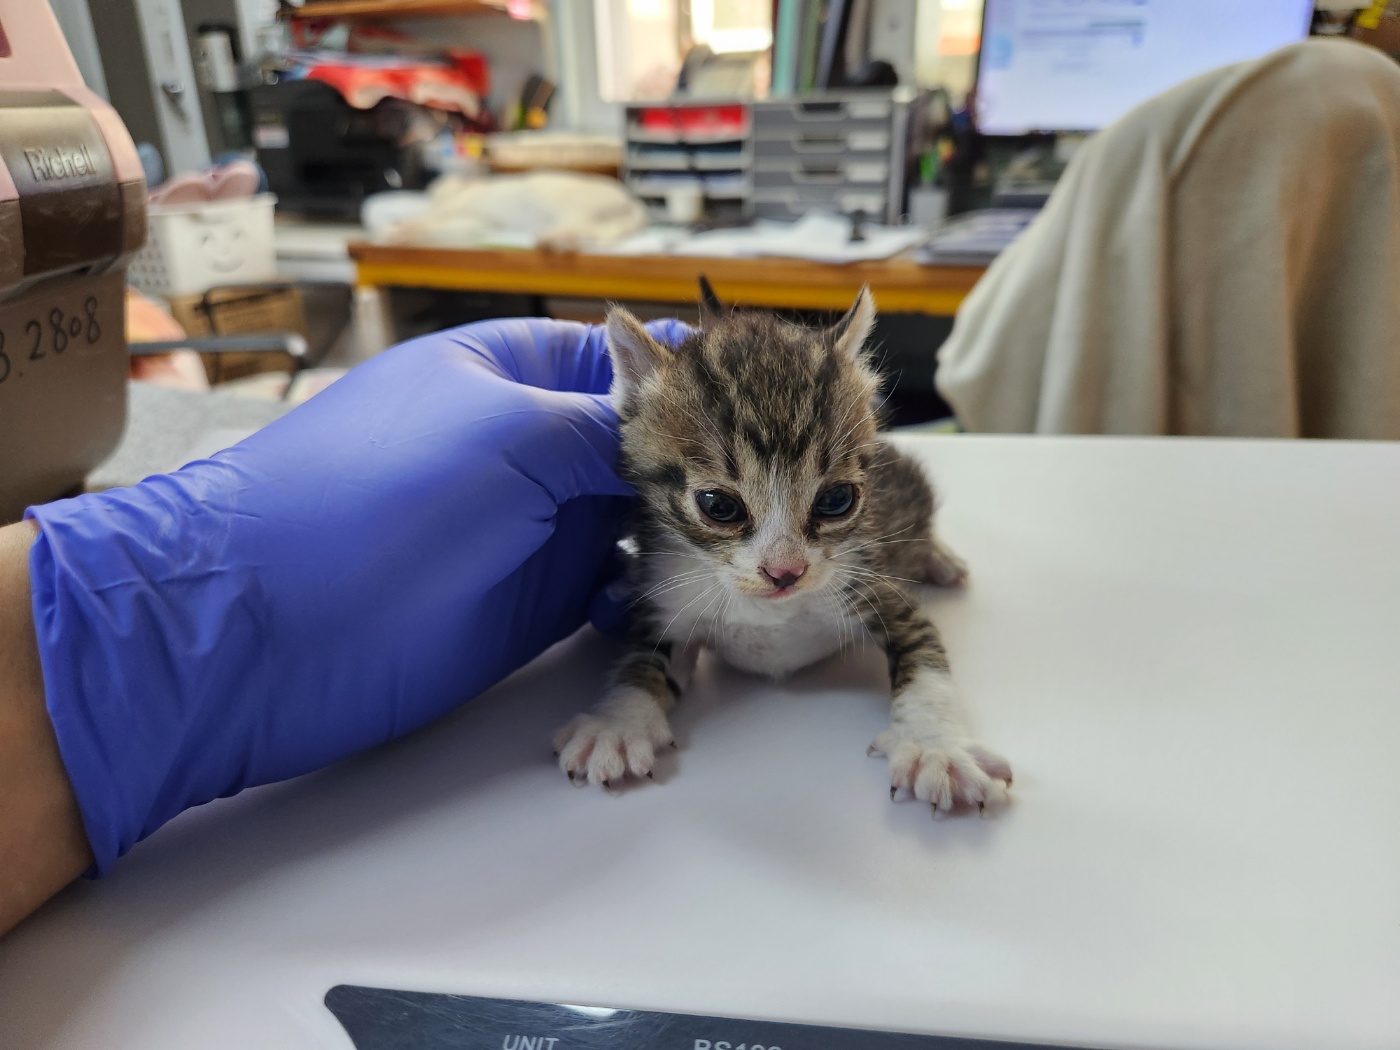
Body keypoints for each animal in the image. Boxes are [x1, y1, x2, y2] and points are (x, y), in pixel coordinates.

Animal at [551, 285, 1013, 812]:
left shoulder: (875, 579)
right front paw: (618, 724)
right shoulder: (666, 592)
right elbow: (640, 658)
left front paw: (937, 747)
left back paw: (940, 558)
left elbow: (924, 655)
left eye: (836, 500)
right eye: (718, 505)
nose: (785, 572)